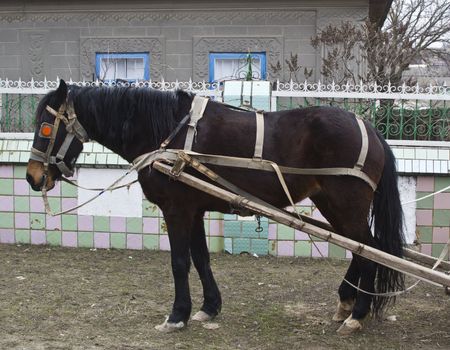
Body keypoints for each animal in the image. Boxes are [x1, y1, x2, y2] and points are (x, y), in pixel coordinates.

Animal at [25, 80, 404, 336]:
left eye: (45, 126)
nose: (32, 177)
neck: (168, 134)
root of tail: (372, 129)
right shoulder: (193, 209)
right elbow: (200, 258)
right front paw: (208, 308)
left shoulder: (176, 209)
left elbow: (179, 262)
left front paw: (177, 315)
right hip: (332, 204)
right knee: (360, 249)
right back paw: (346, 303)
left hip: (346, 204)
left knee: (369, 250)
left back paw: (357, 314)